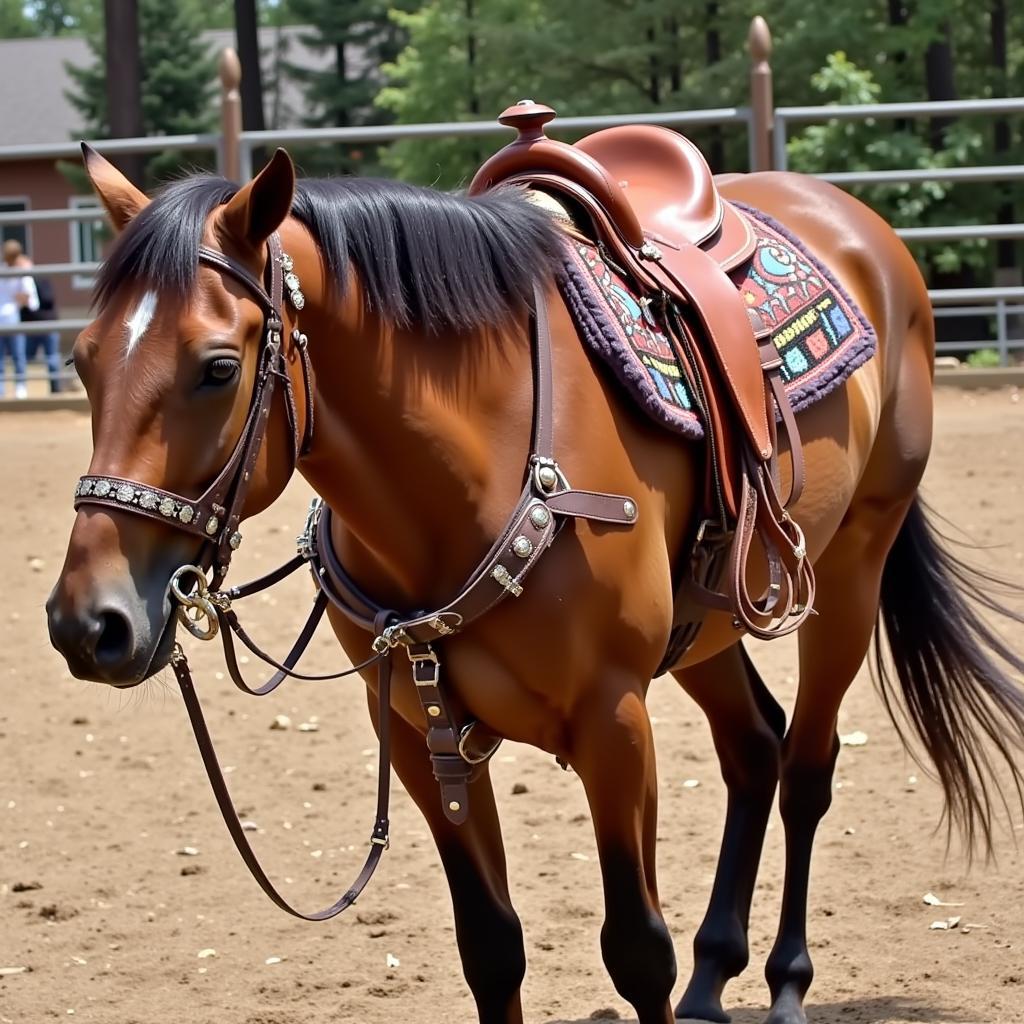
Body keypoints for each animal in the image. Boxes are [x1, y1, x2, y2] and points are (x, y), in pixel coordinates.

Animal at [46, 138, 1024, 1024]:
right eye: (84, 360)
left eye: (218, 368)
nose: (87, 623)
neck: (465, 476)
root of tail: (856, 225)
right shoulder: (418, 735)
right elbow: (491, 948)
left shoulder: (613, 722)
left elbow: (638, 952)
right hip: (706, 625)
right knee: (755, 747)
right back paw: (717, 974)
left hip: (852, 568)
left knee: (808, 770)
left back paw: (787, 984)